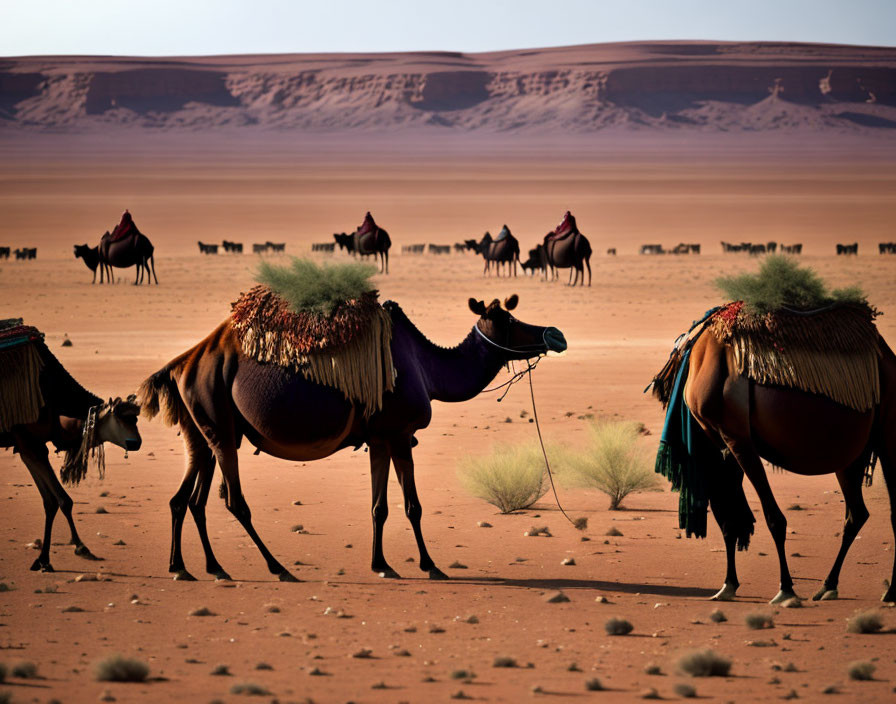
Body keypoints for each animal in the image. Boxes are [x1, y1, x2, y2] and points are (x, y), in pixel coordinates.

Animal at [140, 294, 564, 580]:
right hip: (219, 419)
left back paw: (195, 568)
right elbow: (412, 506)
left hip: (203, 428)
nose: (554, 334)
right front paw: (430, 566)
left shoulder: (378, 437)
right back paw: (278, 568)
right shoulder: (399, 432)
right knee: (233, 501)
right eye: (506, 321)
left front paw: (381, 565)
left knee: (187, 499)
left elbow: (379, 507)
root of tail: (181, 364)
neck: (426, 367)